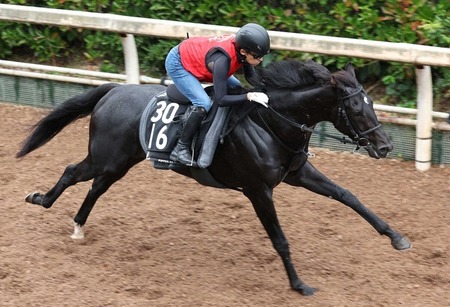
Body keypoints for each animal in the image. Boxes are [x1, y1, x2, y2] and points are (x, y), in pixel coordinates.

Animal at [15, 59, 412, 296]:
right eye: (357, 108)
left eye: (372, 104)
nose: (385, 146)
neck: (271, 120)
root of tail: (114, 90)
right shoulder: (258, 189)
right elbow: (280, 239)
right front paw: (299, 284)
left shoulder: (298, 173)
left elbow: (347, 196)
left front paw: (397, 237)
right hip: (107, 157)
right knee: (73, 172)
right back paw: (40, 199)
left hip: (120, 161)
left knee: (96, 187)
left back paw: (78, 225)